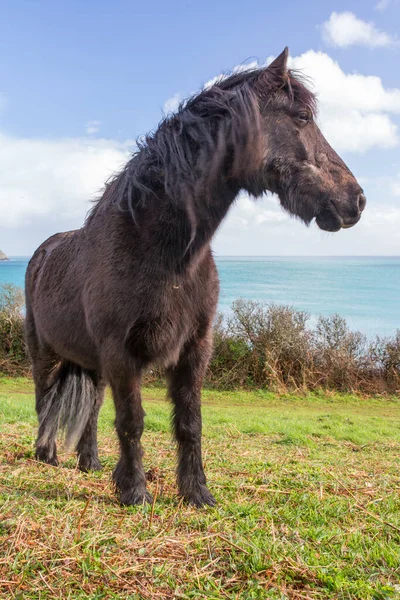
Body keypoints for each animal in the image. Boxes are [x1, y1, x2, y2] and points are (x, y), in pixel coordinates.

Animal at [23, 49, 364, 506]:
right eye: (303, 116)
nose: (356, 200)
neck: (162, 252)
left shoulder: (194, 349)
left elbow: (190, 423)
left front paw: (197, 493)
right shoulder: (121, 353)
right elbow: (132, 421)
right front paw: (134, 492)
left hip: (91, 364)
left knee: (90, 410)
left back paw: (89, 462)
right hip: (45, 353)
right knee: (45, 401)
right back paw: (47, 454)